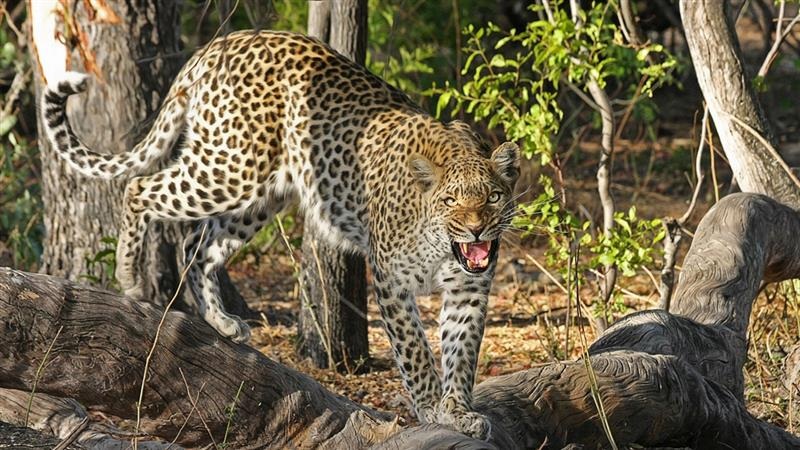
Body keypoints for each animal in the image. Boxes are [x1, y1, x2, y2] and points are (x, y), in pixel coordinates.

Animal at [41, 30, 520, 439]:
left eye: (494, 197)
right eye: (451, 201)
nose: (476, 228)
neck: (443, 246)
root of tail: (217, 45)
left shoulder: (469, 289)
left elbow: (462, 353)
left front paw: (458, 411)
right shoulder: (391, 280)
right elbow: (416, 353)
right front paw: (431, 408)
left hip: (260, 195)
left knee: (197, 244)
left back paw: (221, 321)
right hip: (231, 168)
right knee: (140, 188)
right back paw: (130, 277)